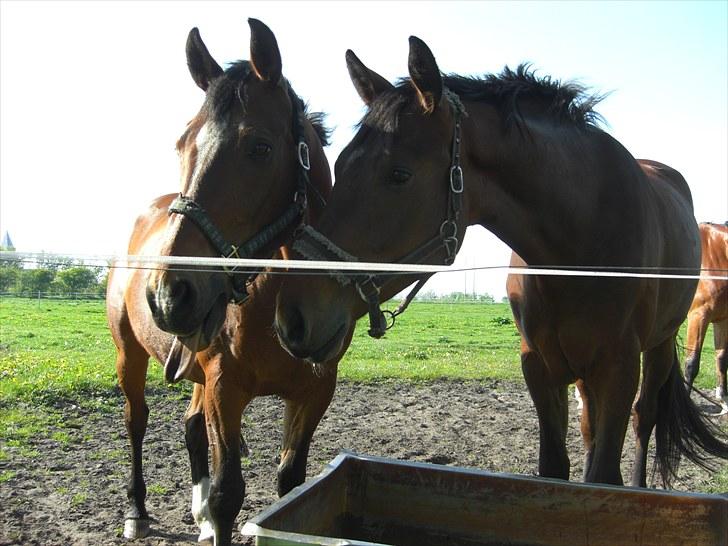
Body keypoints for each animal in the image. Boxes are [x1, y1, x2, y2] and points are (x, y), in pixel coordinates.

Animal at [105, 19, 342, 540]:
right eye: (183, 144)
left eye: (260, 148)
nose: (169, 294)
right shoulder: (223, 387)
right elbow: (227, 493)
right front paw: (213, 514)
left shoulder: (315, 390)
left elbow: (291, 484)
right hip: (130, 354)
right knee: (136, 421)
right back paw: (136, 511)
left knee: (191, 426)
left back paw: (199, 520)